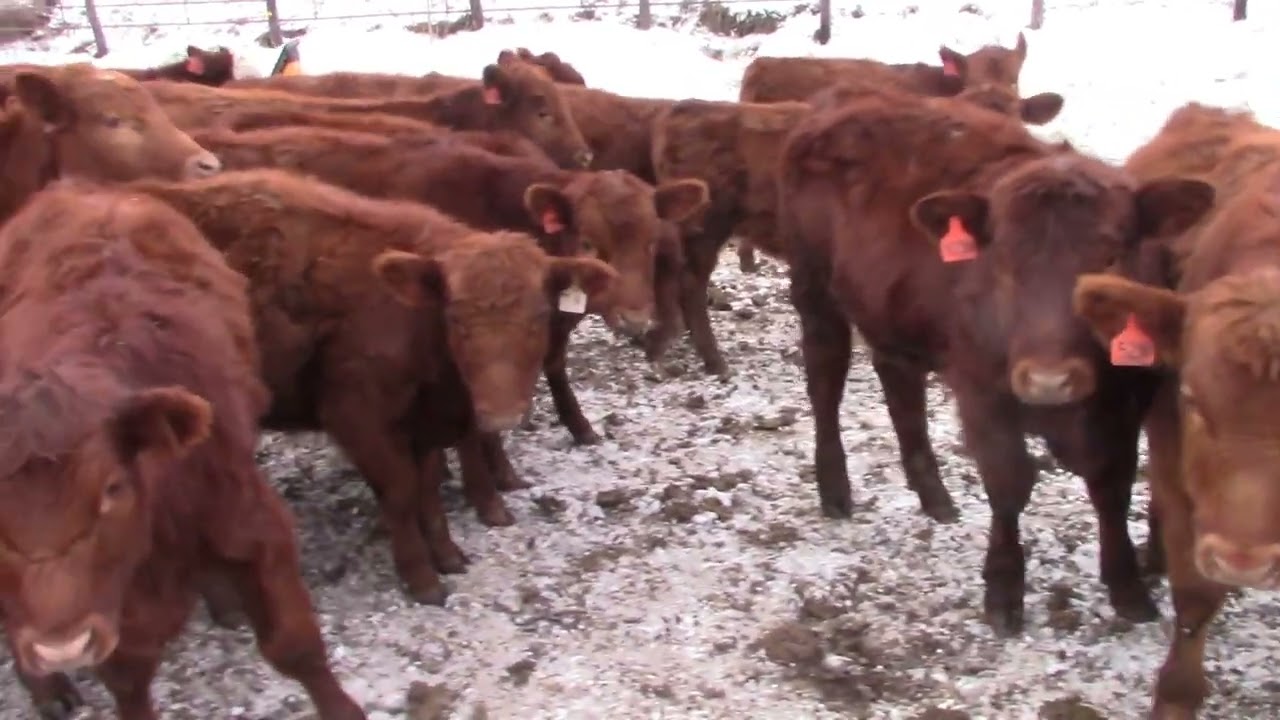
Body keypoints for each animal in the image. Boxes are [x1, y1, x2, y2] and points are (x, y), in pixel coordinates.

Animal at [0, 182, 364, 720]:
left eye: (113, 487)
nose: (60, 648)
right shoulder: (113, 608)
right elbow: (128, 682)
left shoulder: (255, 526)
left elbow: (295, 644)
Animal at [123, 167, 618, 605]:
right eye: (455, 316)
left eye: (540, 314)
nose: (500, 413)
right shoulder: (356, 416)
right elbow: (401, 491)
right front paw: (422, 578)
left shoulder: (421, 424)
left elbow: (427, 484)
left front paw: (448, 555)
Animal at [776, 87, 1214, 635]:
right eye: (1000, 258)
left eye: (1111, 257)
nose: (1049, 380)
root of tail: (844, 99)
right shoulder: (982, 392)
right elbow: (1009, 483)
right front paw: (1004, 588)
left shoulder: (1127, 399)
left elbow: (1111, 483)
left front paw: (1127, 586)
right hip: (814, 291)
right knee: (825, 380)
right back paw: (834, 488)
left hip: (889, 316)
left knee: (900, 386)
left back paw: (934, 495)